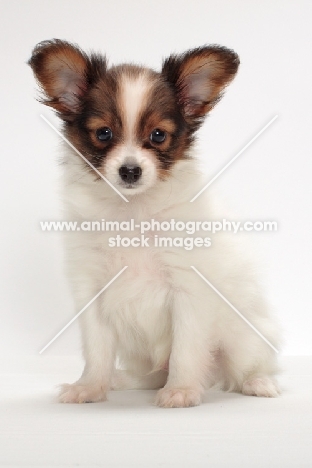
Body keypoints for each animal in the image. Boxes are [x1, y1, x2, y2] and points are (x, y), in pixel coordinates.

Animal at [29, 39, 282, 406]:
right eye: (104, 133)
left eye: (158, 135)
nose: (130, 171)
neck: (132, 210)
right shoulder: (91, 288)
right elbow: (96, 348)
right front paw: (90, 387)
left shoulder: (188, 287)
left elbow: (185, 349)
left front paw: (182, 390)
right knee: (151, 375)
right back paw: (123, 380)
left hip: (243, 339)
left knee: (243, 366)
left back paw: (257, 382)